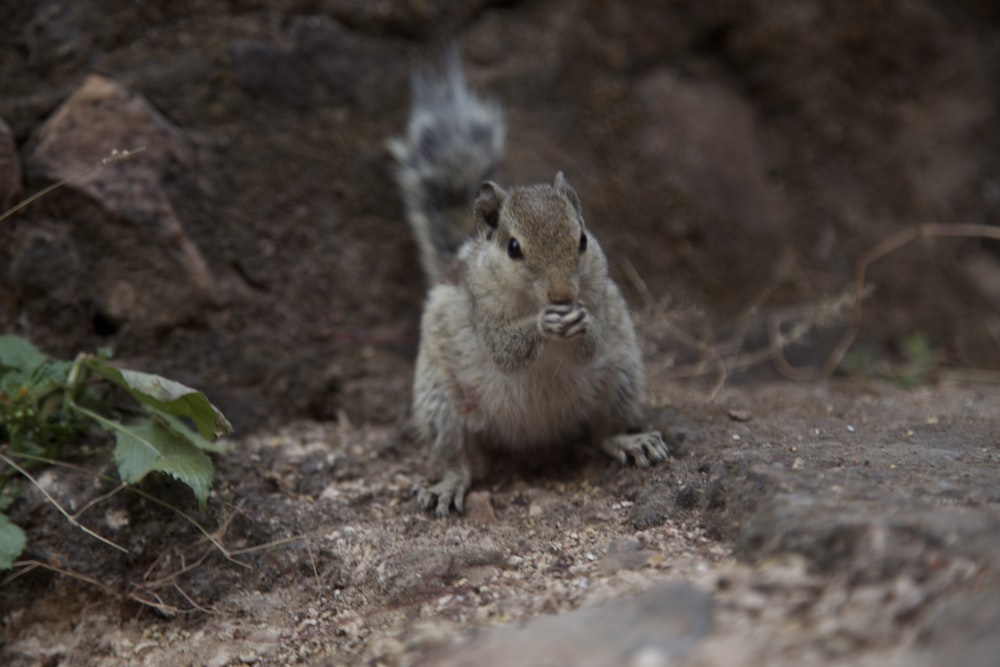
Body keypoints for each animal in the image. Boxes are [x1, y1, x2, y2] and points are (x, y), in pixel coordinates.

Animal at [386, 54, 668, 520]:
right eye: (513, 248)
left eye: (582, 239)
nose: (562, 295)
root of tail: (534, 435)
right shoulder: (480, 307)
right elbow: (505, 349)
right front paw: (542, 325)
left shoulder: (600, 294)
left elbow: (591, 342)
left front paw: (580, 322)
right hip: (440, 403)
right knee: (462, 460)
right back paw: (447, 483)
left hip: (623, 374)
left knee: (602, 431)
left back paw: (631, 440)